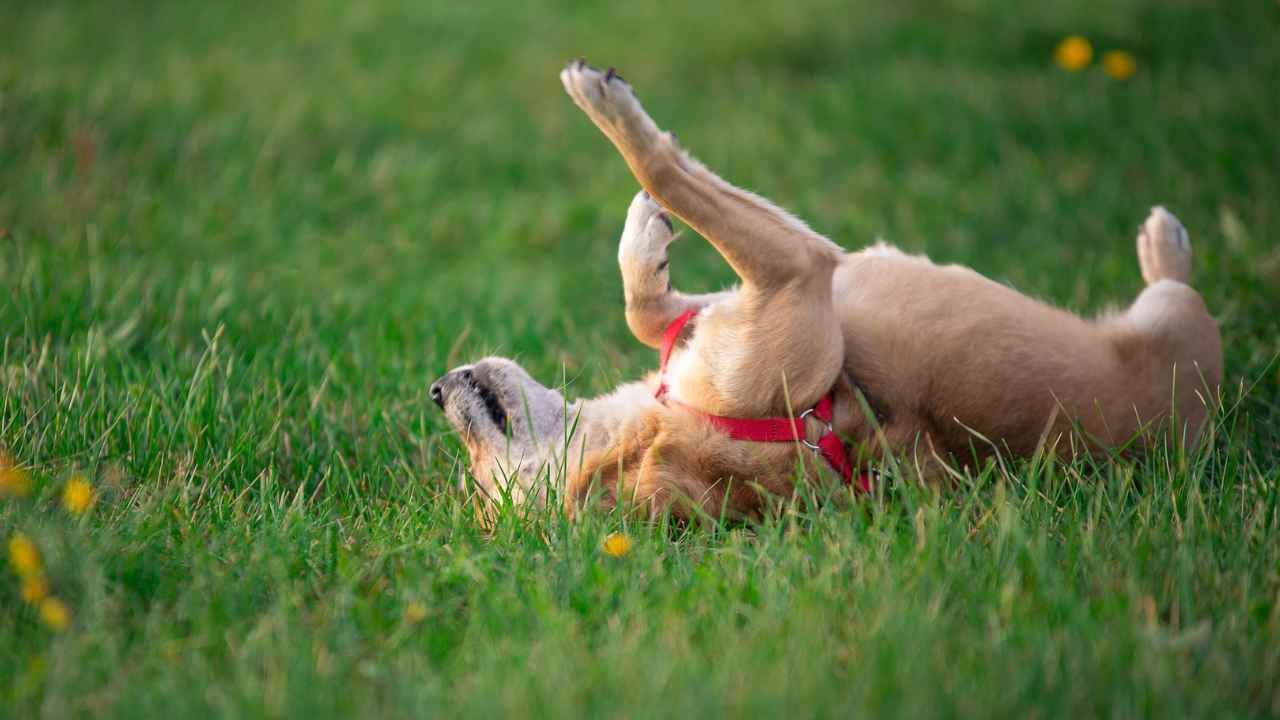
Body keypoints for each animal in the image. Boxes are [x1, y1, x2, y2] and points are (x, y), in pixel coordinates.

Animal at [427, 61, 1218, 517]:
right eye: (485, 486)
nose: (435, 390)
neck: (668, 424)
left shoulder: (761, 292)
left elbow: (651, 308)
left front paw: (645, 240)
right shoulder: (799, 270)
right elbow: (665, 169)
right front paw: (609, 109)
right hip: (1179, 323)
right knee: (1178, 286)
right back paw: (1166, 245)